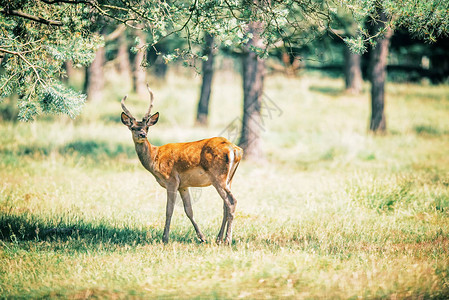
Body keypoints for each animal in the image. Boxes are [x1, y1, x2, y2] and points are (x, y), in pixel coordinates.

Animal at [119, 85, 243, 245]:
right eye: (133, 127)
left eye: (147, 127)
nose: (142, 135)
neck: (155, 157)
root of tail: (235, 149)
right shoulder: (183, 185)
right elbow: (188, 210)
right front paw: (202, 237)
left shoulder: (171, 180)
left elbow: (169, 210)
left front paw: (165, 238)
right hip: (229, 178)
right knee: (225, 205)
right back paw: (218, 238)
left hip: (218, 177)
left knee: (232, 201)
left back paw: (227, 239)